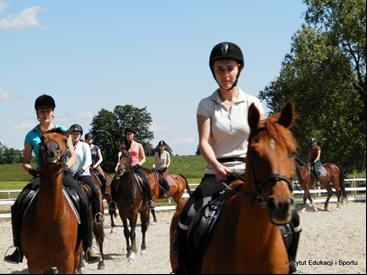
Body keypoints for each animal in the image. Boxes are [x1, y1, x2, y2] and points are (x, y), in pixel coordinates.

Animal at [21, 129, 83, 274]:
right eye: (42, 139)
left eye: (65, 140)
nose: (52, 151)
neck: (50, 219)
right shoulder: (35, 264)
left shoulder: (67, 263)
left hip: (76, 256)